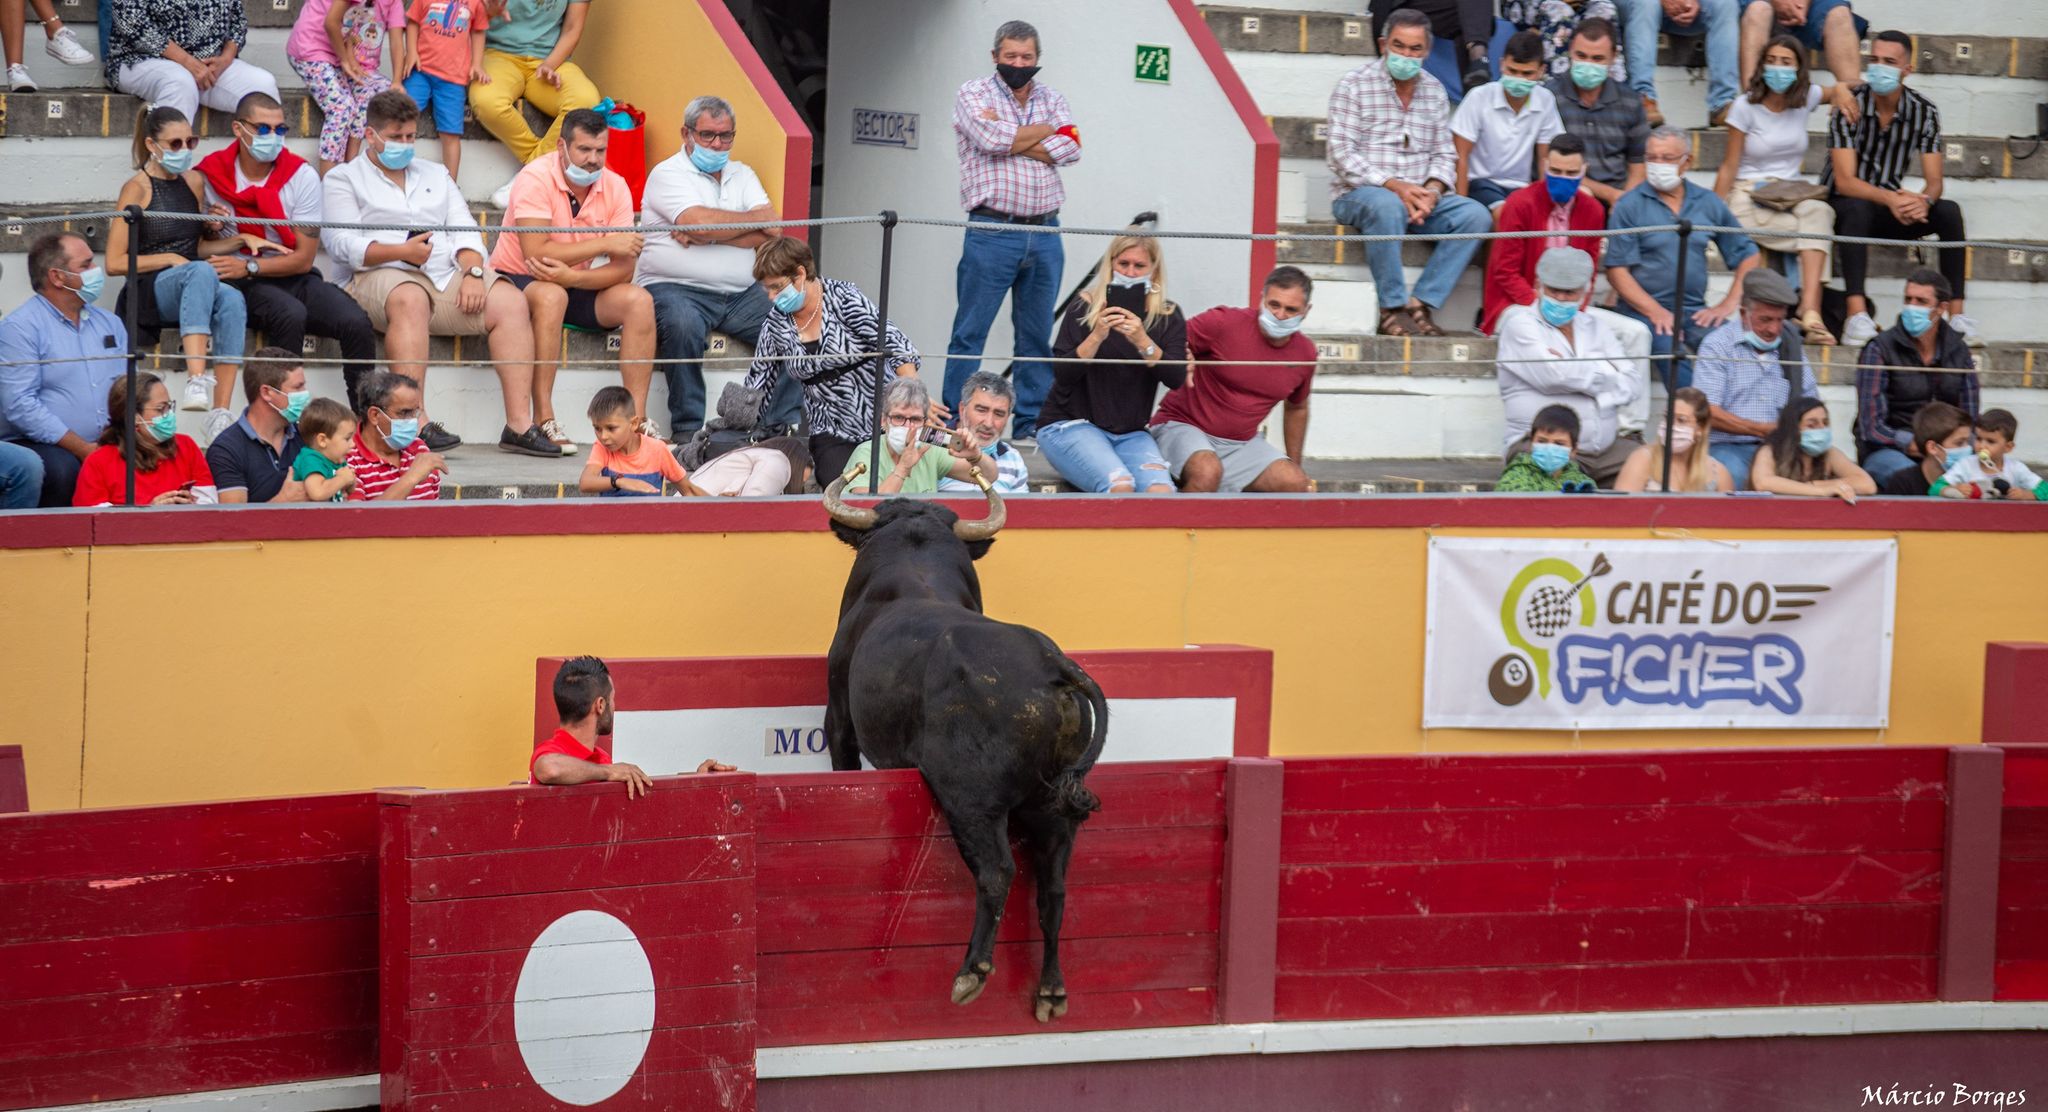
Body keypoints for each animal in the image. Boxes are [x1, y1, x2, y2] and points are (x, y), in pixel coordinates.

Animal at [821, 468, 1108, 1022]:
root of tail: (1052, 666)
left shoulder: (840, 723)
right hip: (1052, 810)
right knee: (1053, 889)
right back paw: (1051, 991)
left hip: (971, 801)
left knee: (997, 872)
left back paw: (970, 973)